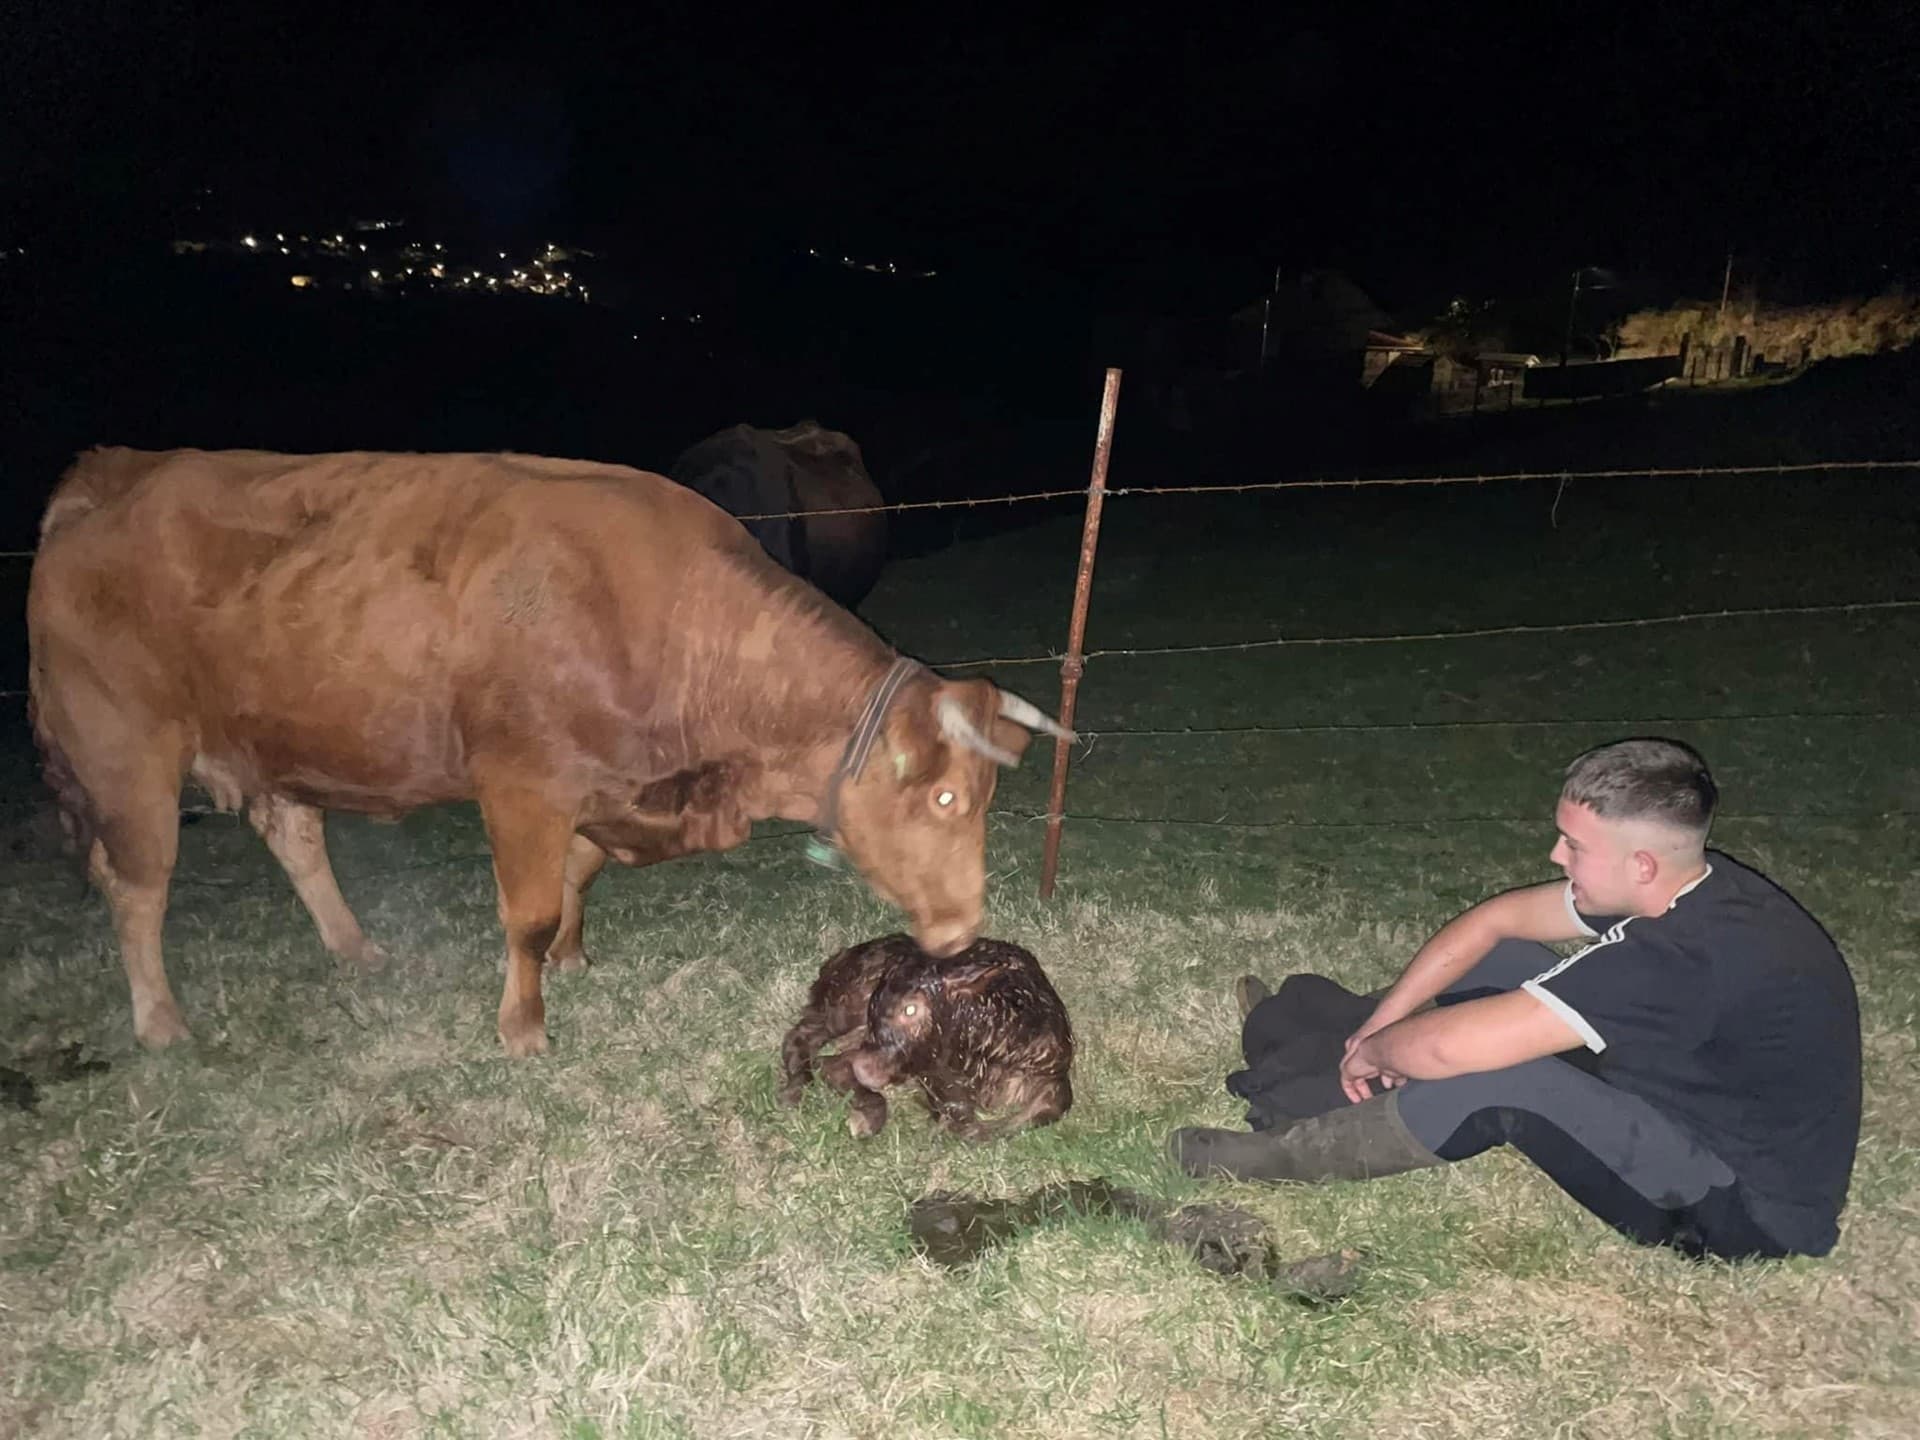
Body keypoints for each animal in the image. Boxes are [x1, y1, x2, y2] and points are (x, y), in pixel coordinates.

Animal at [30, 451, 1075, 1059]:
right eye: (945, 801)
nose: (963, 928)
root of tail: (106, 475)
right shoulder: (521, 780)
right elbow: (527, 909)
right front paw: (522, 1027)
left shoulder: (603, 787)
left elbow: (577, 872)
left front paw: (573, 956)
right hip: (127, 753)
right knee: (136, 885)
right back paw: (161, 1024)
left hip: (268, 738)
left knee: (292, 833)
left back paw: (355, 947)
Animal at [783, 936, 1082, 1152]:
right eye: (878, 1004)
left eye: (911, 1009)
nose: (865, 1069)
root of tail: (839, 957)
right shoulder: (930, 1069)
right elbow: (959, 1115)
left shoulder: (1055, 1067)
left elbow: (1055, 1106)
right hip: (848, 1007)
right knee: (802, 1039)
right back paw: (796, 1092)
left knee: (829, 1062)